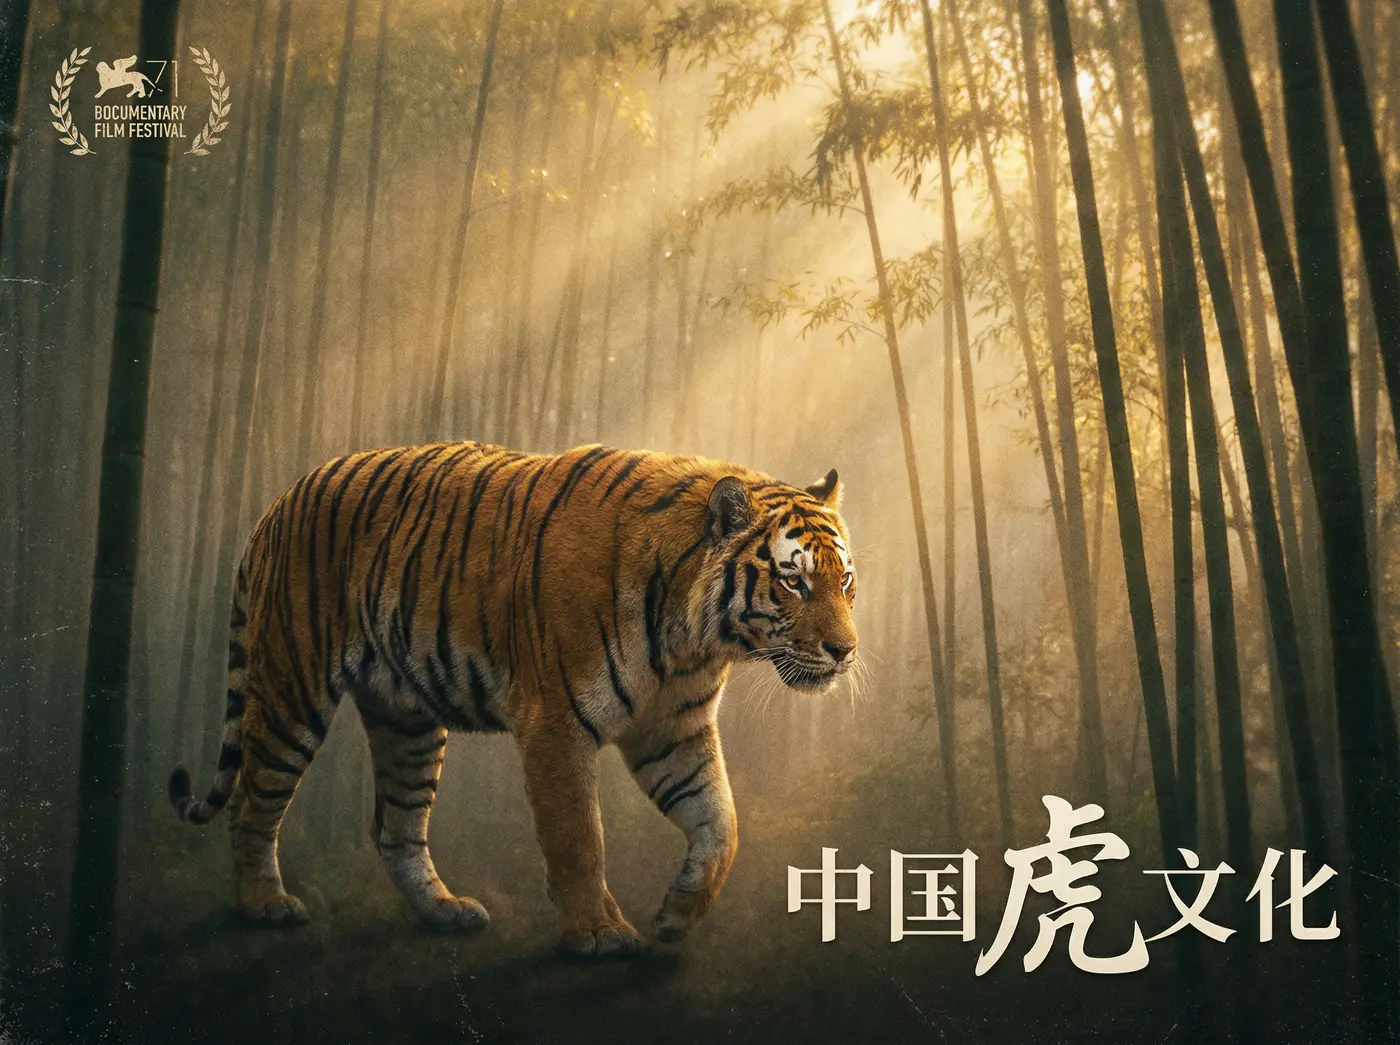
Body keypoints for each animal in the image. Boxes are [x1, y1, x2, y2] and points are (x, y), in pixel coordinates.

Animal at [168, 441, 859, 956]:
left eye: (846, 581)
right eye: (794, 581)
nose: (846, 651)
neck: (693, 642)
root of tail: (279, 501)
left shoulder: (674, 730)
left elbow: (722, 825)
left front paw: (678, 914)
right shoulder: (556, 723)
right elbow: (579, 837)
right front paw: (599, 934)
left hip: (407, 720)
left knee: (396, 828)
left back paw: (445, 911)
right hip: (293, 689)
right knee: (252, 802)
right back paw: (265, 906)